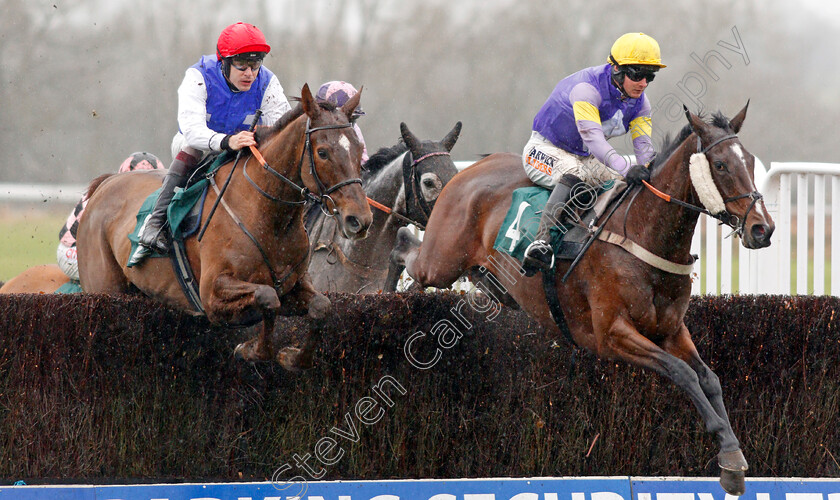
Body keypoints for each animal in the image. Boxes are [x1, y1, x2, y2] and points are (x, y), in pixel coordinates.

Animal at [388, 103, 776, 494]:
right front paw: (728, 454)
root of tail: (468, 170)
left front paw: (732, 455)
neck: (643, 233)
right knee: (406, 251)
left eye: (750, 161)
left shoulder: (671, 330)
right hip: (440, 262)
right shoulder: (611, 334)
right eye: (721, 165)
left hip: (493, 282)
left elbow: (709, 378)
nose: (763, 229)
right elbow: (683, 373)